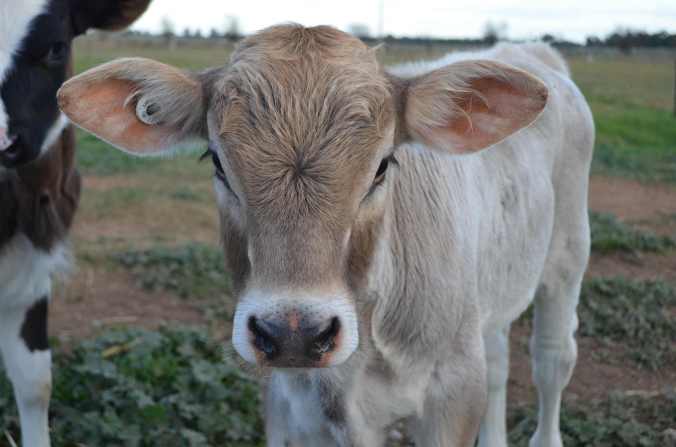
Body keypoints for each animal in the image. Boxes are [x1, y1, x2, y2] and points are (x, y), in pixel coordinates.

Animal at [57, 24, 594, 447]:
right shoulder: (288, 403)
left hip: (568, 257)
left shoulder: (453, 393)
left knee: (552, 359)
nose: (293, 332)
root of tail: (532, 51)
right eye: (217, 163)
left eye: (382, 166)